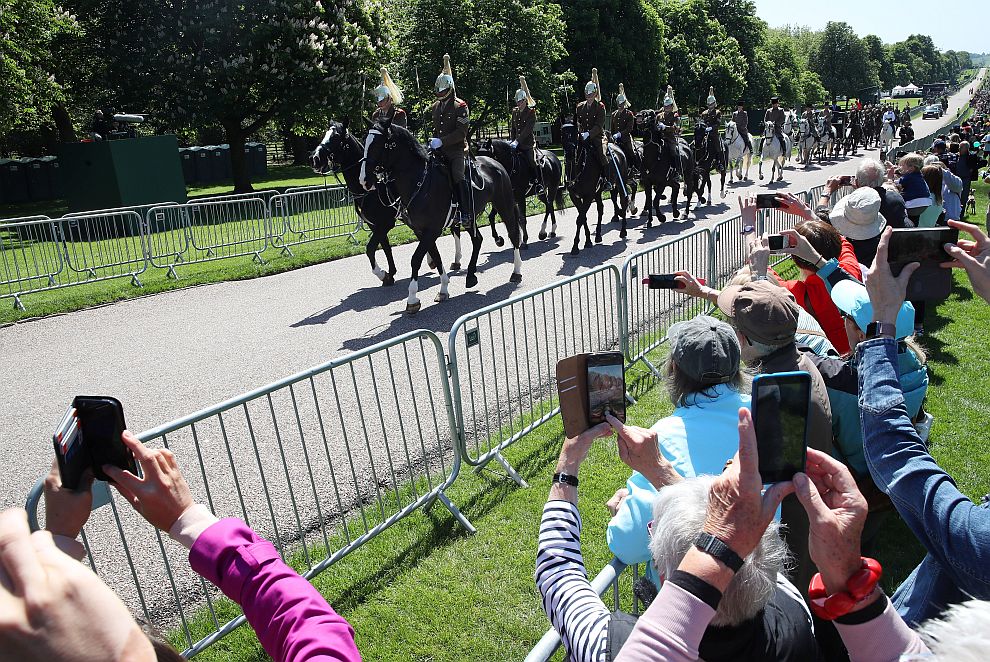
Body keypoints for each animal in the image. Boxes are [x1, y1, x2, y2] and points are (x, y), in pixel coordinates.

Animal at [360, 120, 524, 316]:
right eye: (365, 142)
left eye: (379, 144)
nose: (364, 180)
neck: (420, 182)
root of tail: (495, 163)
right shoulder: (421, 231)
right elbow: (436, 257)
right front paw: (443, 288)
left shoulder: (432, 230)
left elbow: (416, 259)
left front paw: (412, 298)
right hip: (470, 218)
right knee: (478, 239)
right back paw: (471, 275)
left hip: (504, 205)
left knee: (513, 234)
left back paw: (516, 271)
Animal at [560, 120, 640, 255]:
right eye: (562, 135)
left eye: (576, 134)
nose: (570, 154)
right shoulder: (575, 197)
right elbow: (583, 217)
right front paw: (588, 241)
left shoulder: (588, 196)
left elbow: (580, 218)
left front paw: (576, 246)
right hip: (599, 192)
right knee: (601, 209)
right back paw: (598, 235)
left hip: (621, 183)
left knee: (623, 202)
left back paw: (623, 230)